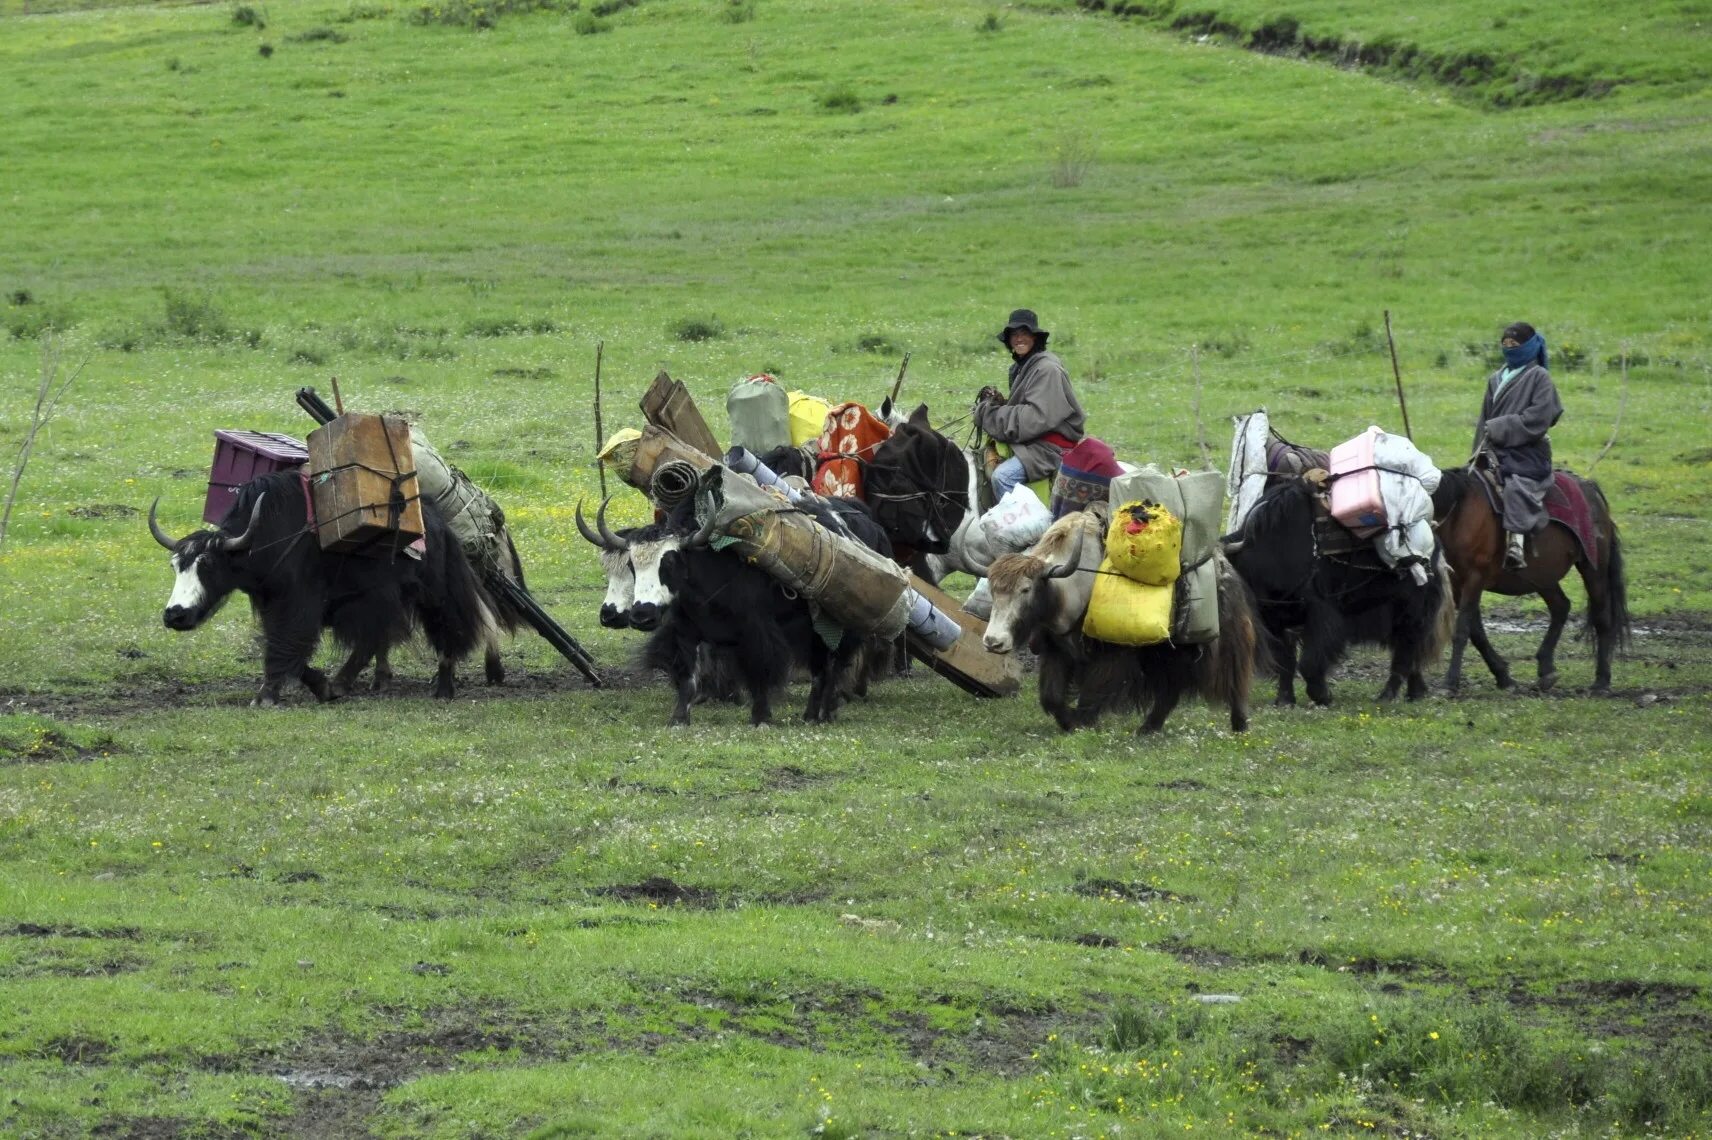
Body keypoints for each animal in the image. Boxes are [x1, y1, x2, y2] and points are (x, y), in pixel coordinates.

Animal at [1424, 462, 1622, 691]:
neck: (1458, 511)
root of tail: (1590, 488)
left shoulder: (1474, 578)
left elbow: (1462, 630)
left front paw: (1450, 682)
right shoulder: (1457, 583)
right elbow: (1476, 632)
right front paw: (1503, 676)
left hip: (1593, 568)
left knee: (1601, 617)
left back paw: (1601, 680)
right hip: (1542, 576)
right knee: (1561, 607)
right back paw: (1547, 669)